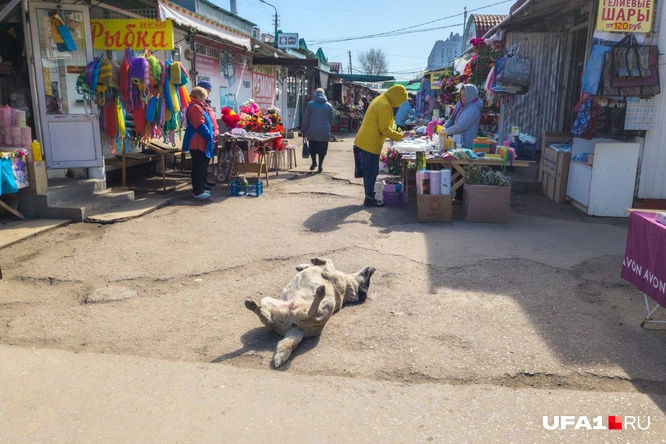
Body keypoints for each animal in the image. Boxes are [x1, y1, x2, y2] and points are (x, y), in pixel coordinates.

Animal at [244, 256, 374, 368]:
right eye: (368, 281)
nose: (374, 268)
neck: (348, 287)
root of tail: (297, 328)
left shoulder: (330, 273)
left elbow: (329, 262)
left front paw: (316, 261)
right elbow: (323, 263)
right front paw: (305, 265)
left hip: (329, 303)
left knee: (312, 314)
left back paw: (319, 294)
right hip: (266, 300)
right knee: (268, 320)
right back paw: (253, 306)